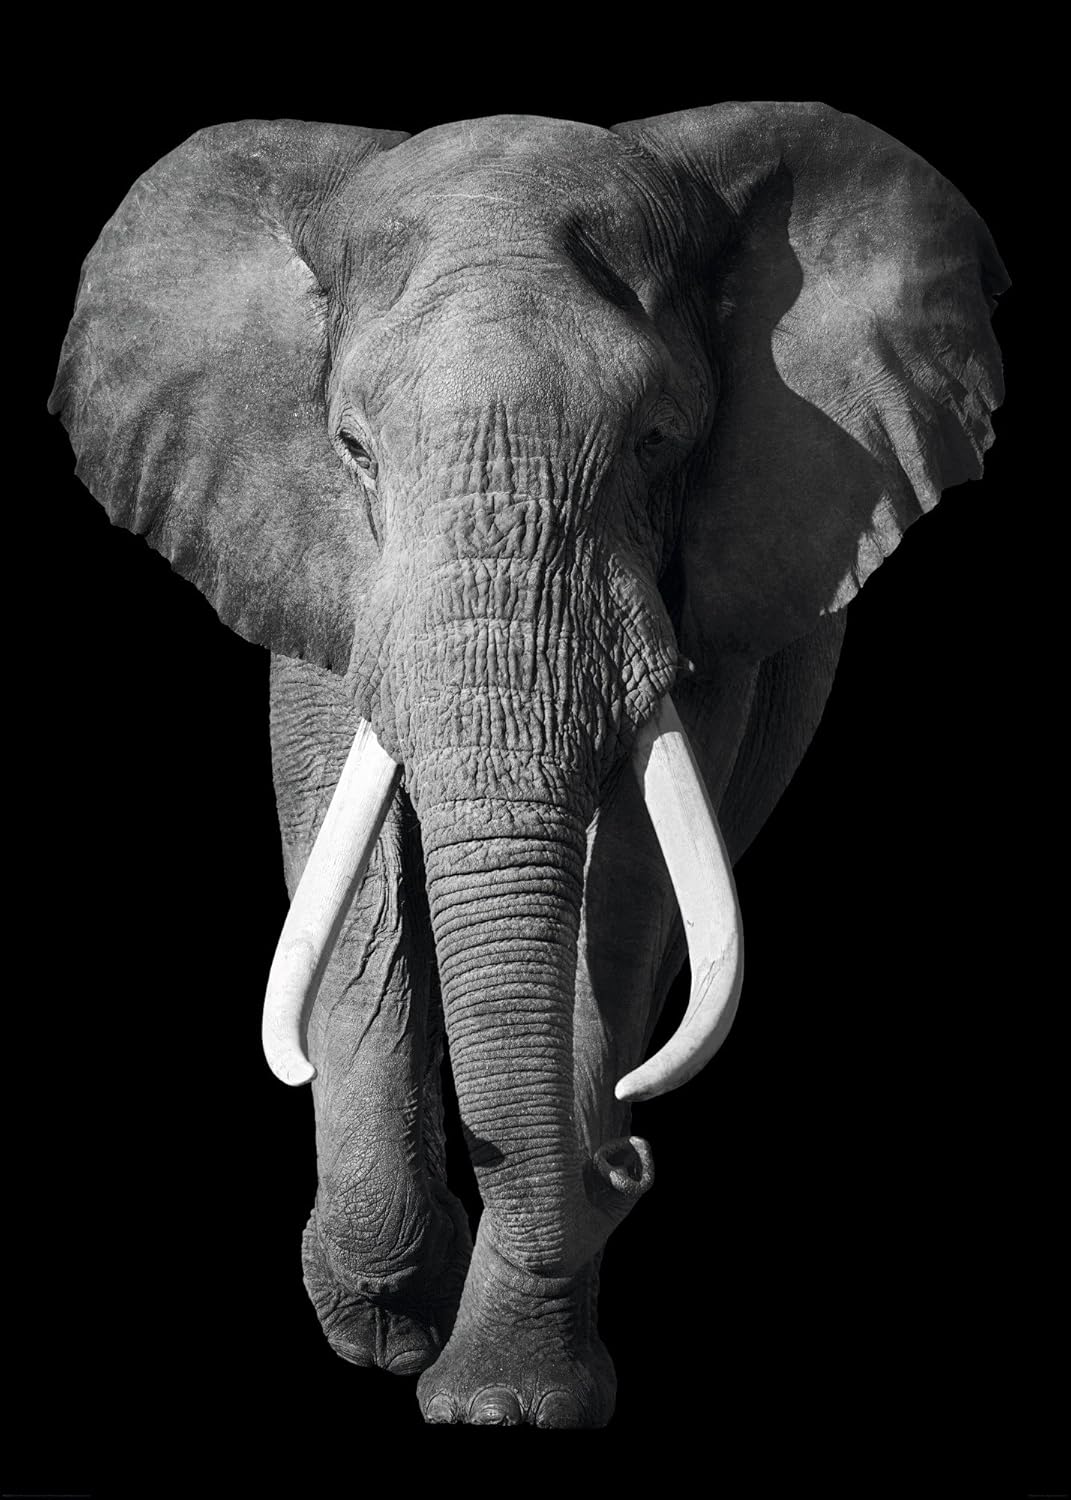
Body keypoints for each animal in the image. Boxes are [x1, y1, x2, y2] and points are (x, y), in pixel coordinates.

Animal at [49, 101, 1005, 1429]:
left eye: (658, 441)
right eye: (353, 448)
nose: (627, 1159)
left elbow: (627, 895)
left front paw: (505, 1400)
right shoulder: (314, 566)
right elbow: (353, 881)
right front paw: (392, 1320)